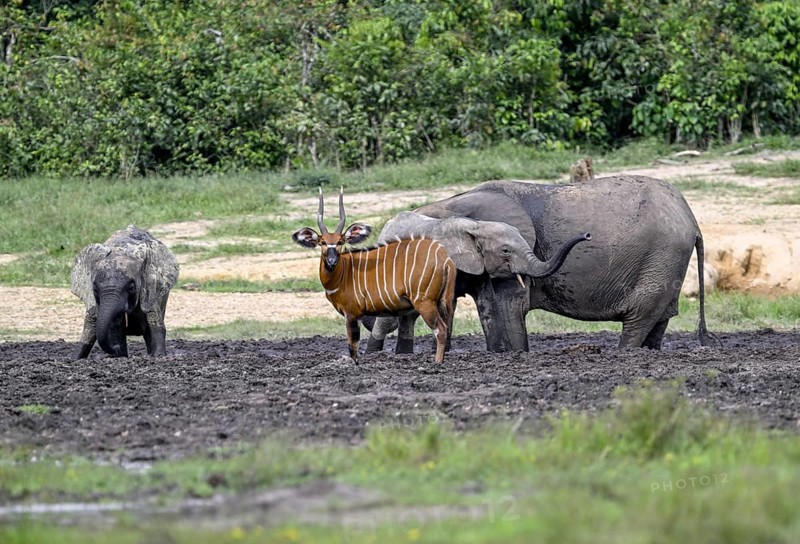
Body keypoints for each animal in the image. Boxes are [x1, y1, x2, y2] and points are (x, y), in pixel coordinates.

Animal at [70, 225, 179, 359]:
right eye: (95, 290)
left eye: (131, 288)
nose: (114, 349)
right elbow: (115, 330)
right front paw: (120, 355)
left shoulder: (151, 290)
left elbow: (155, 326)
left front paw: (158, 356)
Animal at [292, 187, 457, 363]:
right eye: (322, 242)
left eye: (340, 242)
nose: (331, 260)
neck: (344, 273)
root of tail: (445, 259)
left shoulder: (352, 314)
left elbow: (353, 347)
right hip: (442, 301)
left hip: (425, 302)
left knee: (440, 329)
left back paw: (437, 362)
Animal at [363, 211, 591, 354]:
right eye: (505, 250)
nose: (587, 235)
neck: (477, 227)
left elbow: (488, 305)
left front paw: (498, 352)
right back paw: (373, 354)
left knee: (407, 316)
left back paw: (403, 354)